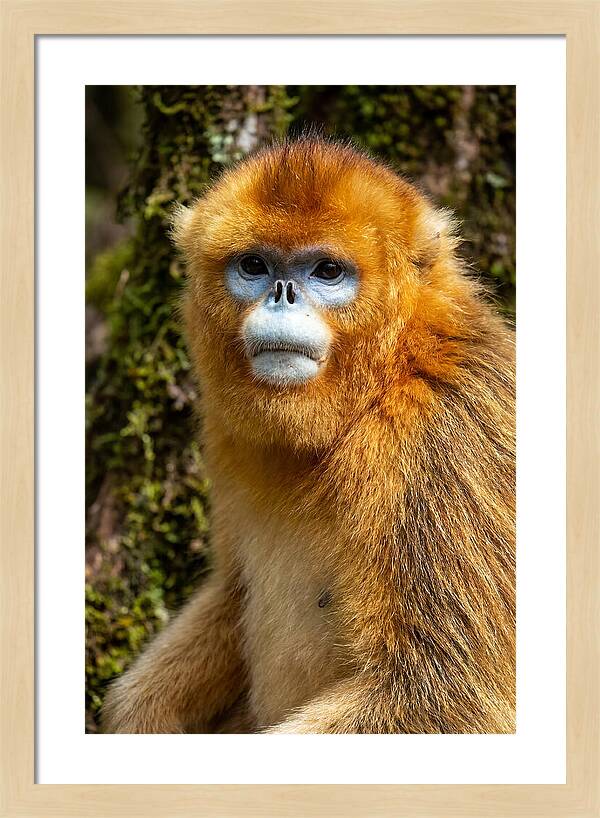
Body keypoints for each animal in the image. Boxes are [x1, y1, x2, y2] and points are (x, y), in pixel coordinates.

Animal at [102, 136, 515, 734]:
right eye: (254, 265)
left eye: (326, 271)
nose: (282, 293)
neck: (383, 383)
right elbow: (231, 593)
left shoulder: (447, 435)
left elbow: (448, 697)